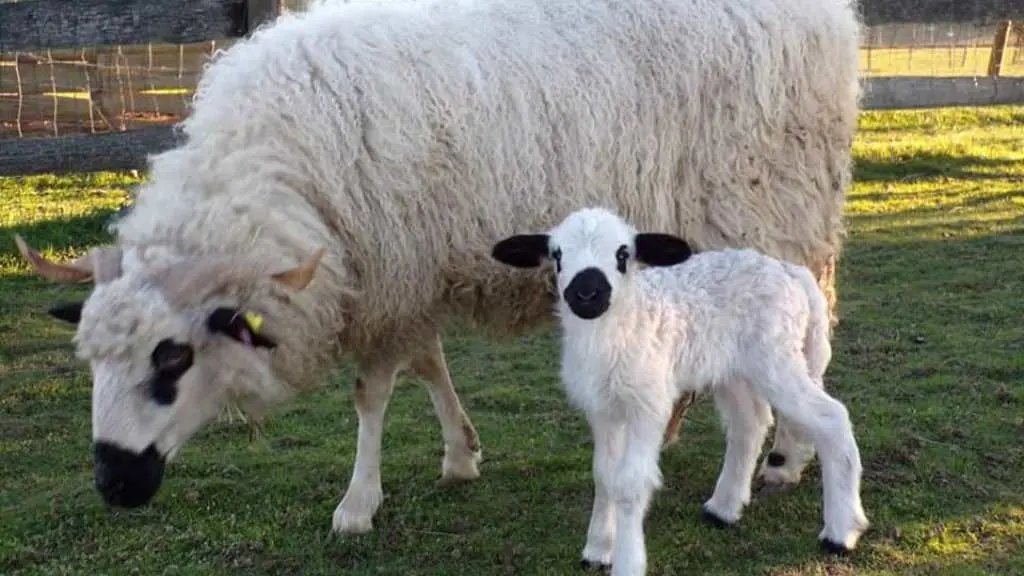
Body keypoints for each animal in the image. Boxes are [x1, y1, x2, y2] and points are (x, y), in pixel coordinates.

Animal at [18, 0, 864, 532]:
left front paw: (357, 504)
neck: (279, 174)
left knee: (806, 342)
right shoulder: (406, 274)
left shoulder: (390, 270)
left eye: (173, 358)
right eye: (89, 361)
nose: (113, 484)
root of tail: (832, 18)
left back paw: (787, 456)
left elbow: (371, 394)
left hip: (773, 216)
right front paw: (461, 453)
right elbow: (426, 364)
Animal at [491, 207, 868, 573]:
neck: (614, 332)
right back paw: (723, 508)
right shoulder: (602, 408)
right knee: (750, 424)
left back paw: (840, 531)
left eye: (623, 254)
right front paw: (597, 549)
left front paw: (627, 562)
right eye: (557, 255)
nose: (586, 293)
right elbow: (605, 475)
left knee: (832, 417)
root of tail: (792, 273)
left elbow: (630, 483)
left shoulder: (648, 404)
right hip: (732, 367)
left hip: (777, 356)